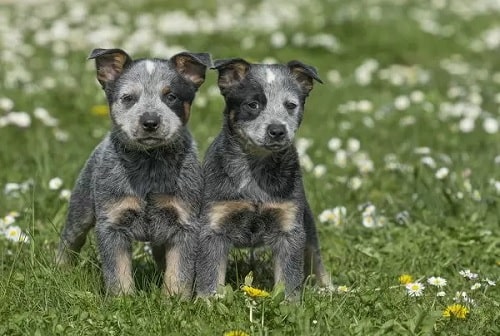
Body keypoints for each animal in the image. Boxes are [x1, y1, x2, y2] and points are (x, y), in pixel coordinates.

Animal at [55, 48, 212, 296]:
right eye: (128, 98)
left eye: (171, 97)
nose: (150, 121)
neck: (149, 163)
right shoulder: (112, 223)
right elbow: (118, 269)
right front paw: (123, 298)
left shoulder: (185, 223)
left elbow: (179, 270)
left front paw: (174, 299)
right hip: (81, 207)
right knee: (70, 239)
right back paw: (59, 269)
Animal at [196, 57, 332, 296]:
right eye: (253, 105)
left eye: (290, 105)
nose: (277, 130)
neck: (257, 168)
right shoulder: (214, 223)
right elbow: (210, 273)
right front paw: (208, 300)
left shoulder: (289, 226)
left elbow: (289, 275)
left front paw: (288, 302)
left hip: (307, 221)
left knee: (315, 255)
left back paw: (329, 288)